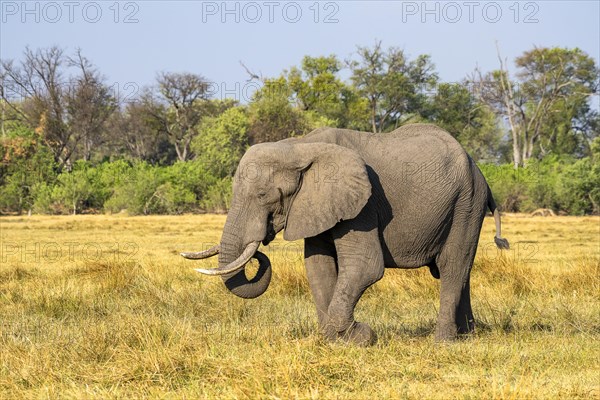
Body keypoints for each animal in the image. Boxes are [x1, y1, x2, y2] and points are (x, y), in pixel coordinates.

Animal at [180, 124, 508, 344]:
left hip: (467, 203)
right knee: (459, 270)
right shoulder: (316, 204)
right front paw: (335, 339)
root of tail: (479, 169)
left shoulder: (363, 203)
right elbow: (318, 266)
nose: (260, 245)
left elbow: (365, 266)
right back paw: (468, 334)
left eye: (263, 196)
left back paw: (443, 341)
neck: (299, 146)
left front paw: (360, 336)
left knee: (452, 266)